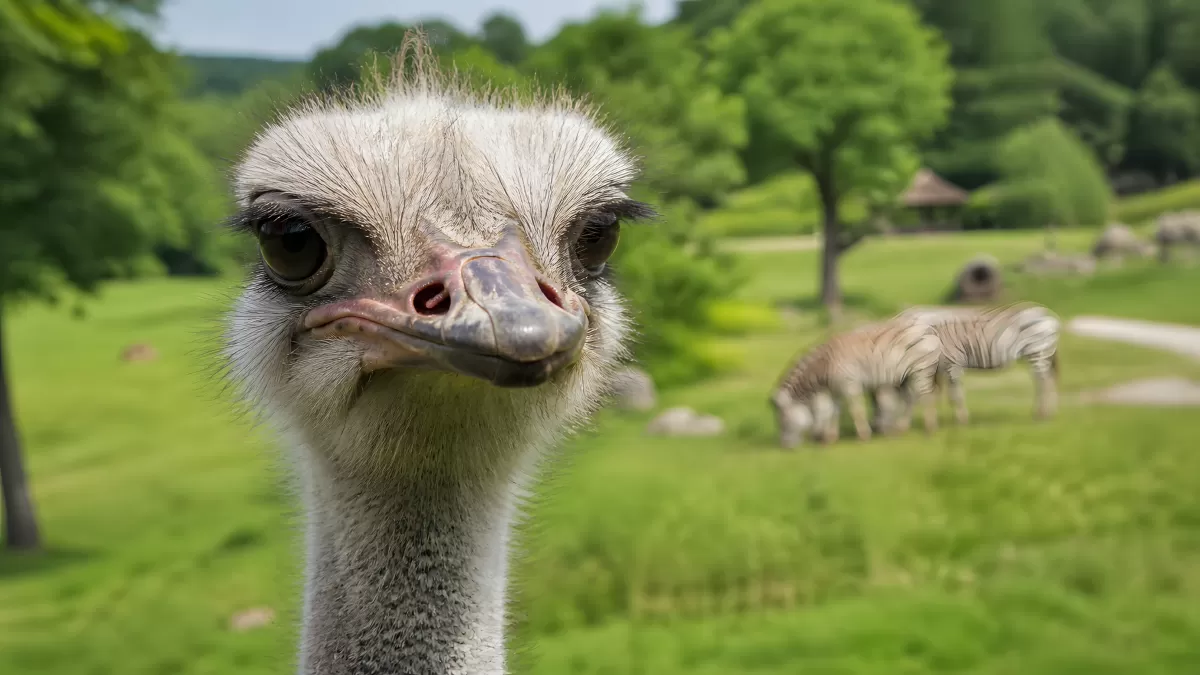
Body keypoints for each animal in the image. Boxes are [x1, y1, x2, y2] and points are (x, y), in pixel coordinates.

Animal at [770, 316, 942, 448]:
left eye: (783, 422)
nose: (784, 447)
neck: (825, 366)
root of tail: (929, 328)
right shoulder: (835, 391)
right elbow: (834, 412)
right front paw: (830, 438)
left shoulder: (850, 385)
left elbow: (856, 411)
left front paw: (863, 436)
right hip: (908, 375)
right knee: (912, 398)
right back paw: (902, 428)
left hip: (921, 369)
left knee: (926, 396)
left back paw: (929, 428)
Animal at [892, 302, 1061, 425]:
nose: (892, 431)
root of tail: (1047, 314)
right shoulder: (938, 368)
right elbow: (937, 393)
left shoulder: (948, 364)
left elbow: (948, 394)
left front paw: (960, 421)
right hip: (1040, 354)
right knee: (1045, 380)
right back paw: (1046, 412)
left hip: (1037, 351)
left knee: (1044, 382)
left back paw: (1042, 414)